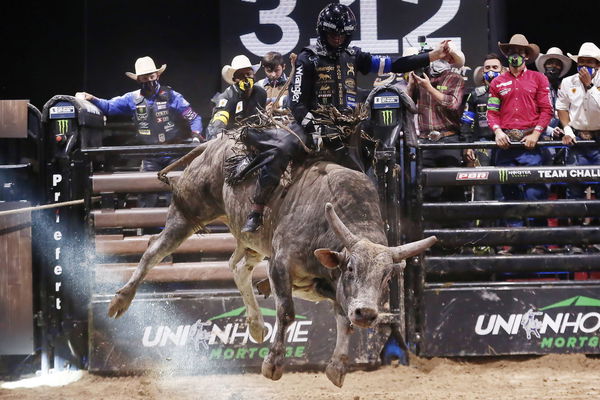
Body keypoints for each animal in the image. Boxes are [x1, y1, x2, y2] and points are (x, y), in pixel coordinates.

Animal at [109, 135, 436, 388]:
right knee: (154, 250)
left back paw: (255, 325)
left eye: (387, 277)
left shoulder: (328, 287)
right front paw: (273, 364)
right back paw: (120, 301)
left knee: (237, 267)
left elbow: (343, 318)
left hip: (250, 240)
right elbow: (287, 312)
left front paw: (337, 367)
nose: (367, 313)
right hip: (188, 212)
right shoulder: (280, 264)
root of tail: (215, 143)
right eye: (352, 268)